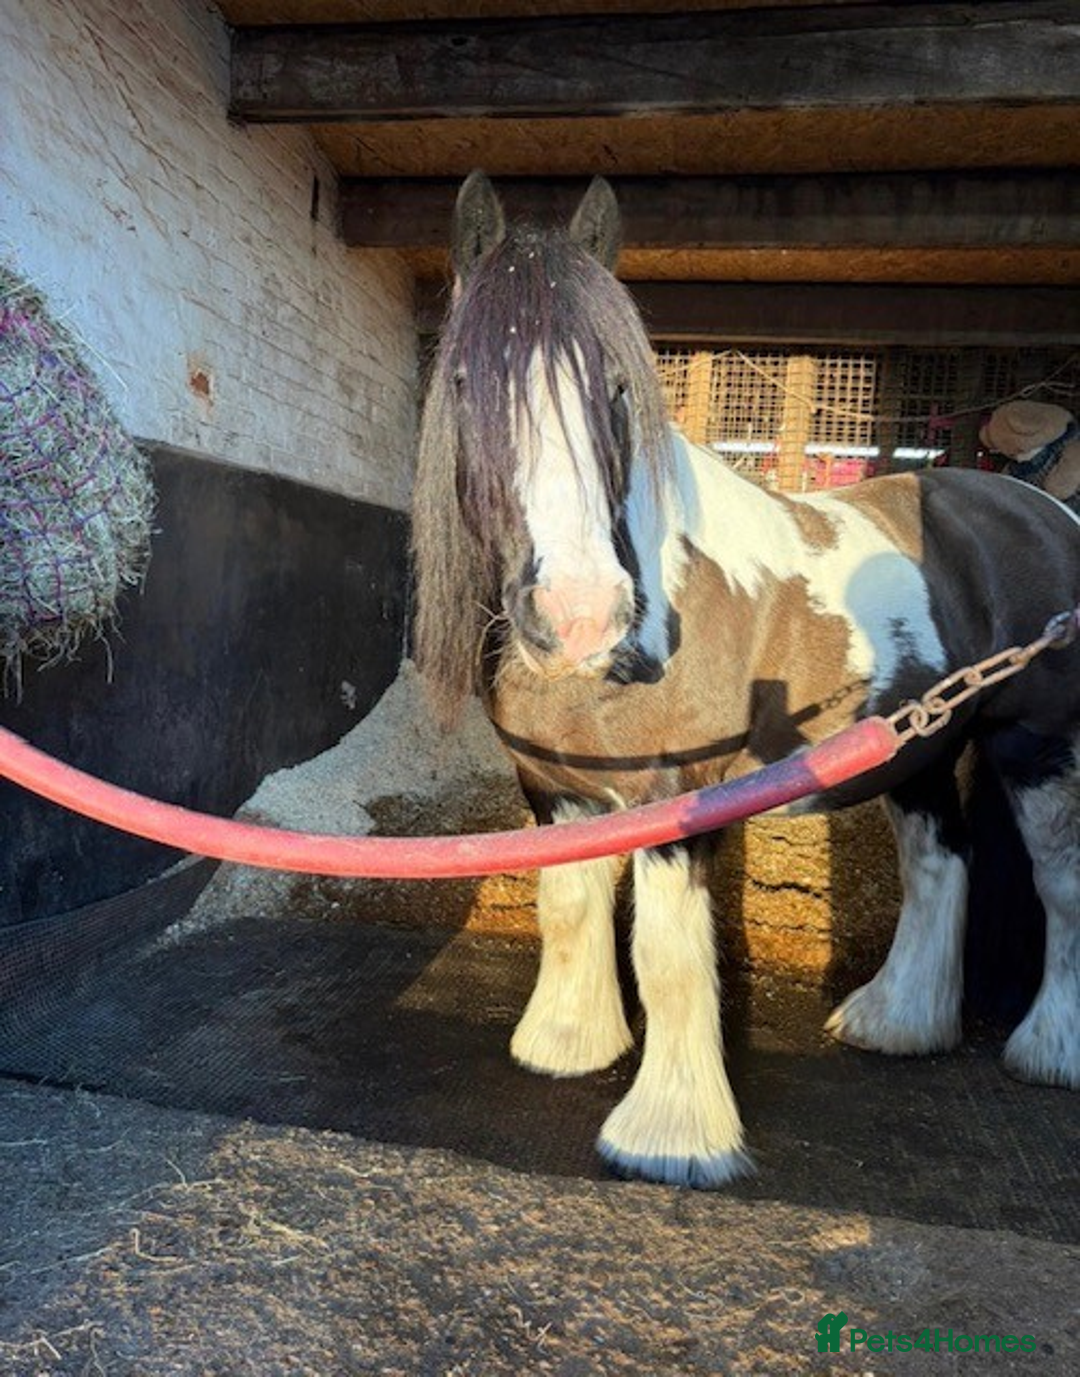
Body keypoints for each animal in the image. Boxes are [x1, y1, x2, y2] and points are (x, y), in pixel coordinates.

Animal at [412, 171, 1080, 1188]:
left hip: (1037, 745)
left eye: (616, 387)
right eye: (464, 382)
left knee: (1061, 884)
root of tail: (1046, 509)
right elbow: (568, 910)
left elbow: (668, 955)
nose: (581, 613)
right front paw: (567, 1044)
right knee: (939, 866)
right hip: (915, 746)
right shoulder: (554, 790)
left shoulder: (672, 800)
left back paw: (1048, 1053)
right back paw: (894, 1023)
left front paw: (671, 1136)